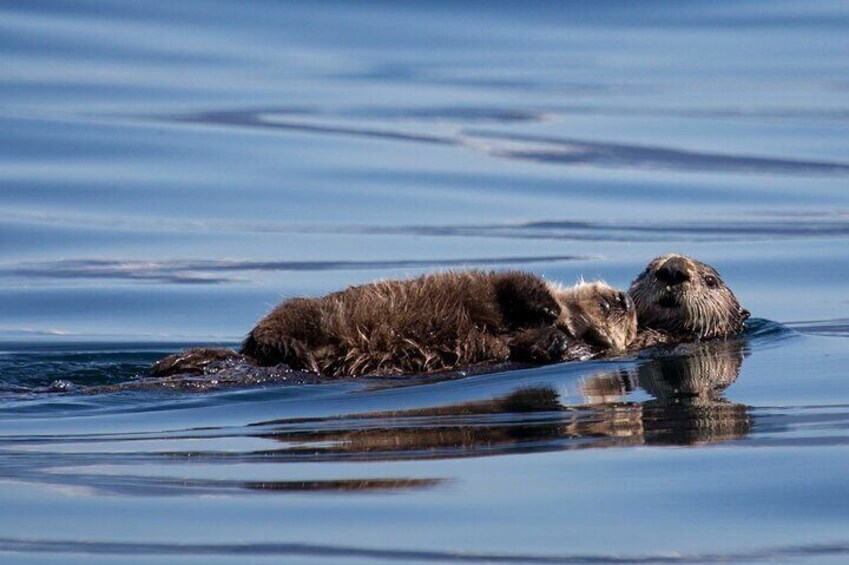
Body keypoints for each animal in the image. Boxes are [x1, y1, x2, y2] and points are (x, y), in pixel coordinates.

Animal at [242, 271, 637, 377]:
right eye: (608, 301)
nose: (626, 300)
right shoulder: (500, 284)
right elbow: (516, 284)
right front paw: (549, 311)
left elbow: (530, 346)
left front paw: (559, 339)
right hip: (307, 311)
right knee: (272, 325)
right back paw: (295, 351)